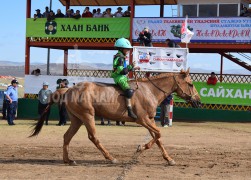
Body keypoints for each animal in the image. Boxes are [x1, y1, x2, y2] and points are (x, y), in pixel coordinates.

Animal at [30, 68, 201, 166]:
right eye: (191, 84)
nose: (198, 101)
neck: (150, 90)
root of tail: (69, 89)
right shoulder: (143, 120)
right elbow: (158, 134)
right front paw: (141, 147)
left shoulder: (150, 120)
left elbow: (158, 138)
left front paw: (168, 159)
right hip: (87, 116)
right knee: (93, 137)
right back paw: (110, 157)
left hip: (77, 120)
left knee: (67, 137)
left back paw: (68, 160)